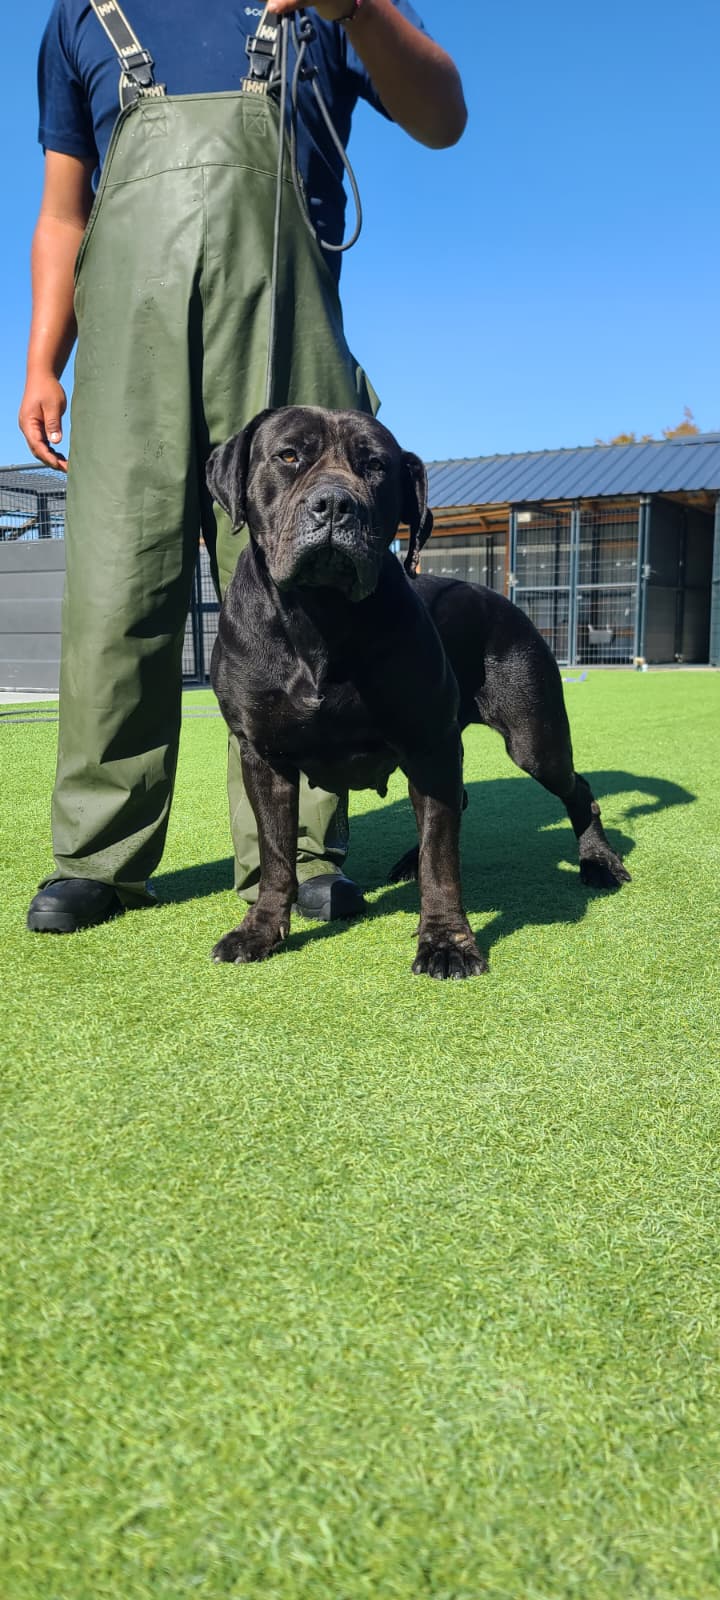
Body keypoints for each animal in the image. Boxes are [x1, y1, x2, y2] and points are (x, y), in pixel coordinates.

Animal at [207, 406, 629, 979]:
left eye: (376, 467)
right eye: (288, 455)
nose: (334, 504)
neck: (320, 614)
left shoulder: (429, 745)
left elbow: (442, 859)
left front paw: (447, 942)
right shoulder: (263, 754)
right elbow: (275, 853)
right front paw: (260, 930)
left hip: (534, 739)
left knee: (575, 788)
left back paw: (598, 861)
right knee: (457, 803)